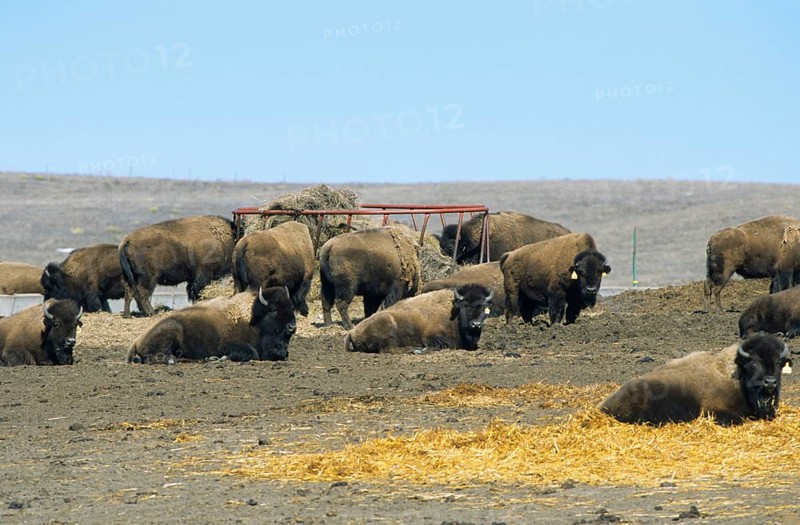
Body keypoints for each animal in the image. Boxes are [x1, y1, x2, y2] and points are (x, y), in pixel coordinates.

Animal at [128, 286, 296, 364]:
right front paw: (224, 358)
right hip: (172, 330)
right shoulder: (230, 345)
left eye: (292, 307)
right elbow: (251, 354)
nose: (292, 327)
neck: (254, 318)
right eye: (273, 309)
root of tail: (136, 340)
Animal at [345, 283, 494, 353]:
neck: (455, 314)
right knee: (389, 349)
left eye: (483, 306)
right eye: (465, 306)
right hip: (389, 328)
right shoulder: (431, 337)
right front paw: (422, 350)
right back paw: (413, 349)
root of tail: (352, 331)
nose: (476, 324)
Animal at [600, 333, 792, 424]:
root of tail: (604, 405)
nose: (770, 382)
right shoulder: (714, 411)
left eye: (779, 362)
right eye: (753, 363)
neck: (737, 376)